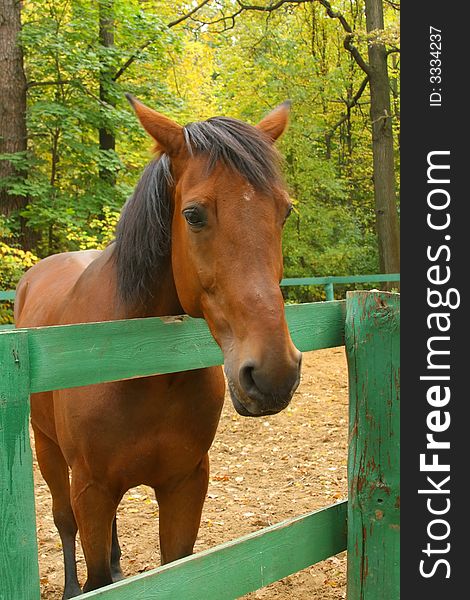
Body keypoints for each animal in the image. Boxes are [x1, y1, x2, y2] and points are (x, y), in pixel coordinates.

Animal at [14, 96, 302, 596]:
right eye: (193, 214)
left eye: (283, 211)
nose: (273, 374)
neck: (140, 363)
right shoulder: (90, 489)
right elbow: (92, 572)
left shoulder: (185, 484)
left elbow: (174, 566)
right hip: (49, 453)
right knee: (64, 523)